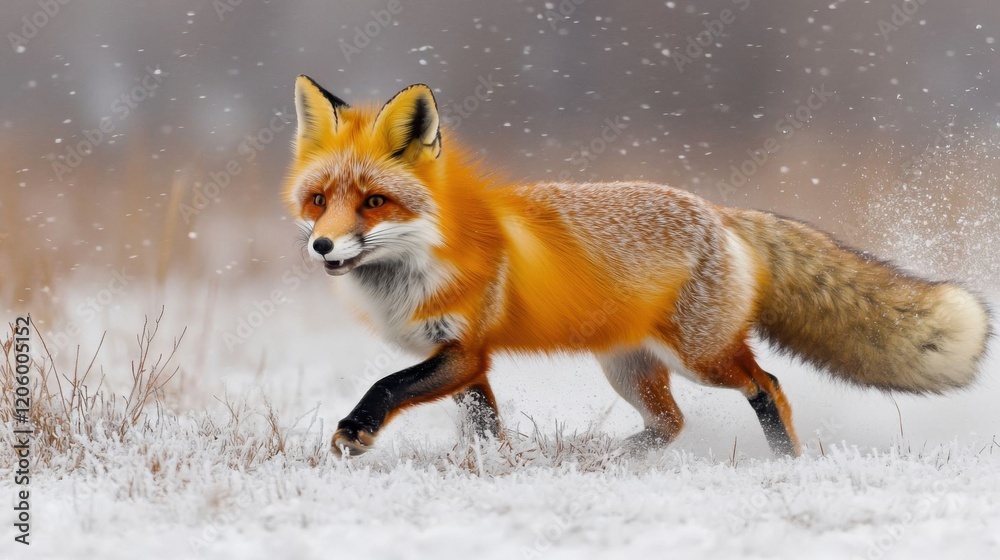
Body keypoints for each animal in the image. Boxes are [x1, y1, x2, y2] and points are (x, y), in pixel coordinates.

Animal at [283, 75, 992, 458]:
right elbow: (483, 426)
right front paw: (496, 467)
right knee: (670, 423)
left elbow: (389, 386)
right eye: (319, 201)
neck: (416, 267)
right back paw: (608, 455)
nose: (322, 246)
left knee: (768, 386)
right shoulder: (467, 361)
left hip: (700, 357)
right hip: (628, 366)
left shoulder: (462, 351)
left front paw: (355, 432)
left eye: (374, 202)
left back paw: (786, 463)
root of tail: (718, 211)